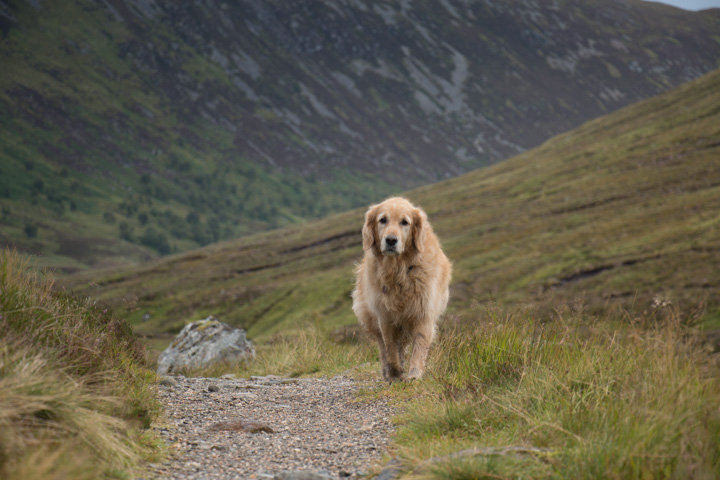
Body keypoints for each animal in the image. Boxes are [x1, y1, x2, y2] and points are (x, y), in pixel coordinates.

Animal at [352, 197, 450, 380]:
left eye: (405, 222)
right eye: (382, 220)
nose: (391, 240)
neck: (399, 270)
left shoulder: (423, 313)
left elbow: (419, 346)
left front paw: (414, 374)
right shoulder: (385, 316)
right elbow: (390, 348)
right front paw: (395, 371)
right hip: (370, 316)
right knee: (383, 347)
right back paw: (388, 371)